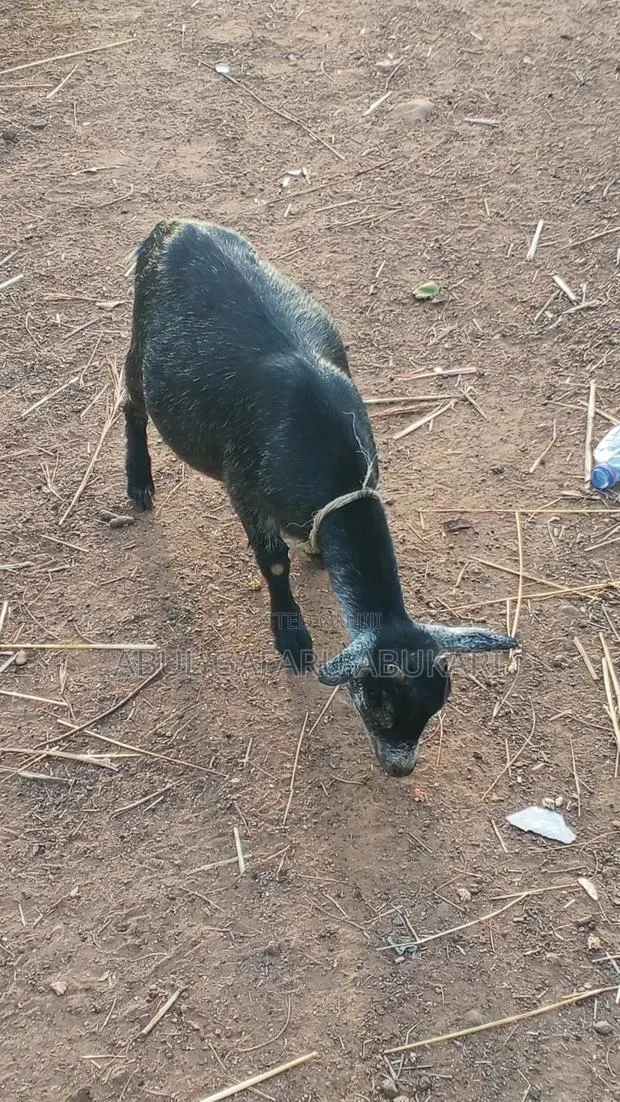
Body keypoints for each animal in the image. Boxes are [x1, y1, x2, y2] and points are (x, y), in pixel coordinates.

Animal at [123, 218, 517, 776]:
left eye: (437, 705)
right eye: (377, 701)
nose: (401, 769)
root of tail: (175, 225)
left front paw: (317, 558)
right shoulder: (244, 486)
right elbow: (274, 562)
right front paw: (292, 638)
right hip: (141, 342)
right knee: (130, 401)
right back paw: (138, 482)